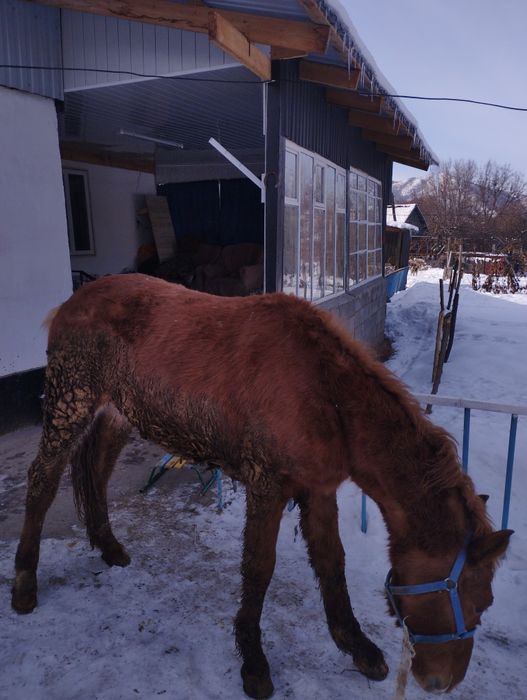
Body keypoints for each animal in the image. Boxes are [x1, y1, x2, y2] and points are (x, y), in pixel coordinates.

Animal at [11, 273, 512, 698]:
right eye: (477, 601)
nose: (441, 681)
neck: (324, 393)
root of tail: (72, 301)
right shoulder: (267, 488)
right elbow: (258, 568)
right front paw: (253, 662)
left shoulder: (318, 491)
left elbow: (332, 564)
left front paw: (357, 646)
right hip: (69, 407)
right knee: (42, 482)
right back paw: (24, 585)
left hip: (116, 413)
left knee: (95, 472)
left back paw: (109, 547)